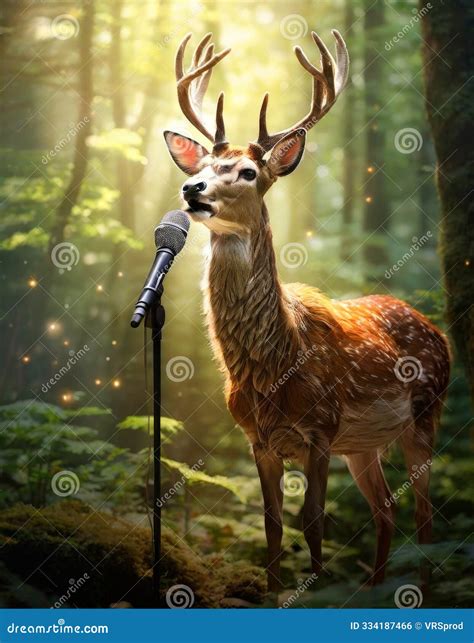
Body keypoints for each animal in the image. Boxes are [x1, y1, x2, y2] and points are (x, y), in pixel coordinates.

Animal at [163, 31, 451, 594]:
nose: (192, 189)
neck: (274, 365)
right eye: (201, 167)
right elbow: (273, 524)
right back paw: (372, 588)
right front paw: (274, 589)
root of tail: (439, 332)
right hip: (362, 445)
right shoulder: (258, 439)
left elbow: (313, 520)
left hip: (425, 413)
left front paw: (312, 586)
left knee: (425, 519)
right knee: (385, 512)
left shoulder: (321, 428)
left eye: (249, 171)